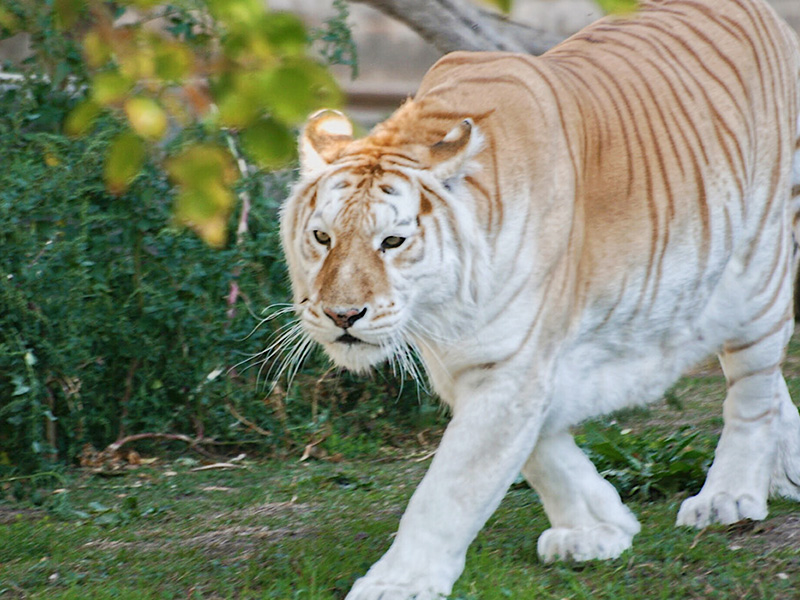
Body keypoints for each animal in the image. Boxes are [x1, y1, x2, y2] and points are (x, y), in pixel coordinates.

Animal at [280, 0, 800, 596]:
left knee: (752, 391)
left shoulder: (508, 363)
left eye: (392, 241)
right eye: (322, 238)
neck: (443, 312)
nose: (342, 314)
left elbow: (452, 486)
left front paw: (399, 582)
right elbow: (542, 452)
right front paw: (598, 529)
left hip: (757, 271)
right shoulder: (473, 363)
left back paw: (729, 497)